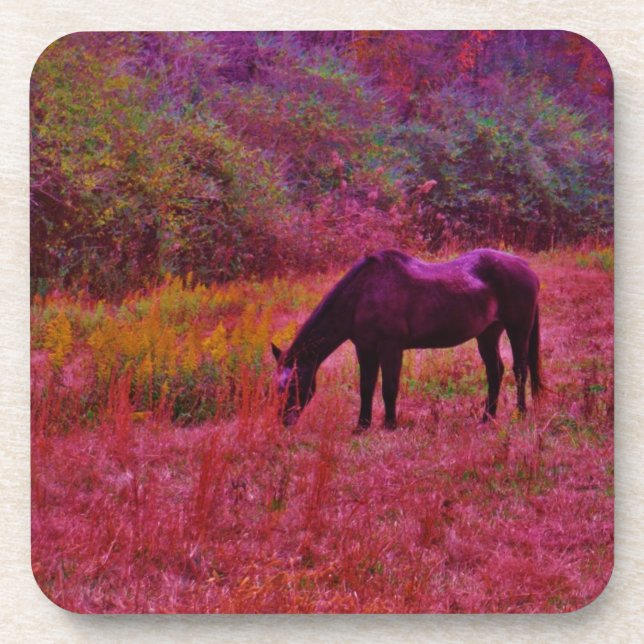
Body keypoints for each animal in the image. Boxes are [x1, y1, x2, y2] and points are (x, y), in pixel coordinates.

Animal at [271, 249, 542, 430]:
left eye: (293, 384)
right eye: (276, 386)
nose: (283, 421)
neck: (363, 294)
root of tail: (525, 265)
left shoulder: (391, 347)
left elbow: (389, 387)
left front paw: (389, 424)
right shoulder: (365, 349)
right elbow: (366, 386)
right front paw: (362, 425)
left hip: (518, 330)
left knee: (520, 370)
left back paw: (519, 414)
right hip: (488, 334)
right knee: (495, 372)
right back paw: (487, 418)